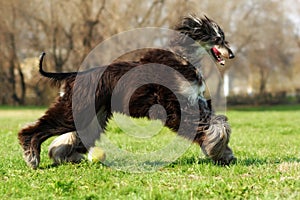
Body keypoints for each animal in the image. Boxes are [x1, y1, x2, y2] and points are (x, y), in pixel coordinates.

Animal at [18, 15, 237, 169]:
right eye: (218, 38)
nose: (232, 54)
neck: (182, 59)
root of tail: (74, 74)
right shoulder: (175, 105)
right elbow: (209, 127)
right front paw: (216, 150)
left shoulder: (196, 101)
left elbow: (219, 122)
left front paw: (224, 154)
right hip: (78, 108)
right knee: (37, 129)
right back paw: (32, 155)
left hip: (94, 112)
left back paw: (63, 155)